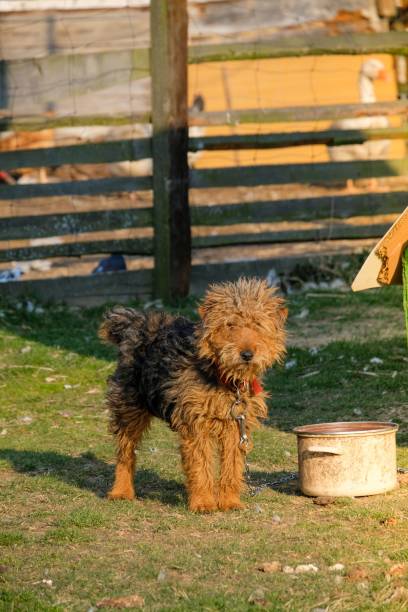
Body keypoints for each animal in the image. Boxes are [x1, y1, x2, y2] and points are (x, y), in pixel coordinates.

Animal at [99, 278, 286, 512]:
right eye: (230, 324)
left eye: (258, 324)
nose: (246, 354)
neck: (224, 378)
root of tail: (137, 323)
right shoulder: (196, 425)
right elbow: (201, 466)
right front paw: (204, 502)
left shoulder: (236, 427)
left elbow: (232, 467)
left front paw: (229, 501)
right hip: (129, 408)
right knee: (125, 453)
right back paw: (121, 491)